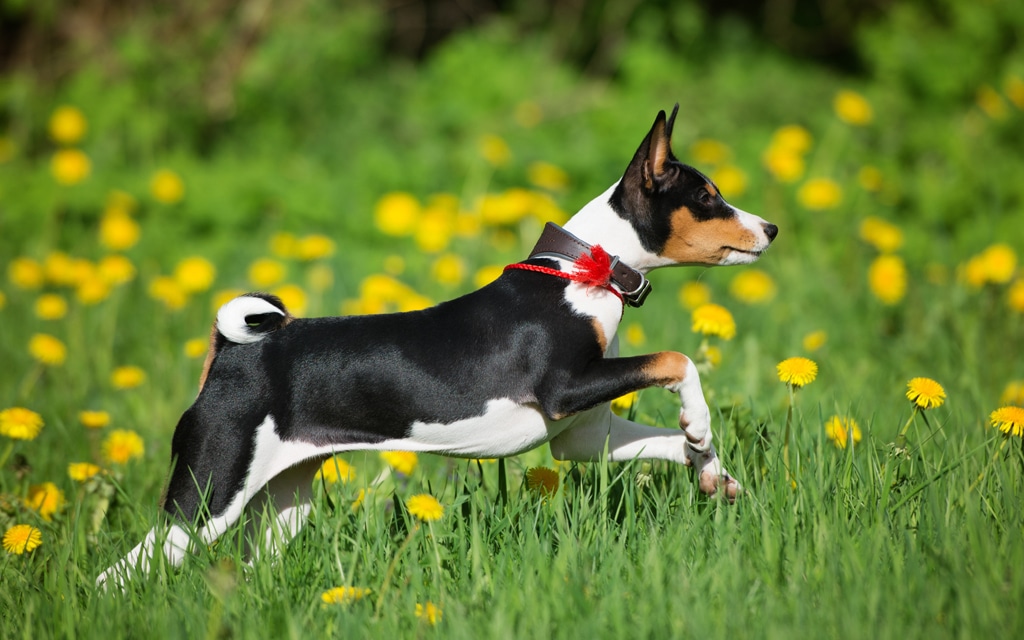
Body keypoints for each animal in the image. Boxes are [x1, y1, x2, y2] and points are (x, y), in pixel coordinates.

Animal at [99, 105, 778, 589]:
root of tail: (231, 352)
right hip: (206, 498)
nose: (771, 227)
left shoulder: (581, 435)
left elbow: (669, 442)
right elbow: (676, 360)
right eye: (708, 197)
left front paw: (710, 467)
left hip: (280, 502)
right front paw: (699, 424)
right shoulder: (566, 389)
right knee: (117, 576)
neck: (585, 274)